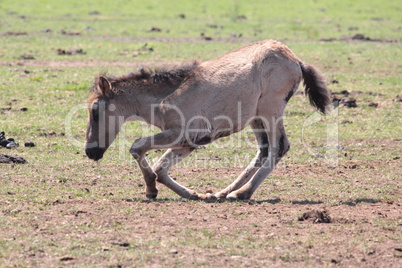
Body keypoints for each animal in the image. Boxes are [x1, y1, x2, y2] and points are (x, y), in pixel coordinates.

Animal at [84, 39, 330, 199]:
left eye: (95, 111)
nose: (90, 151)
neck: (165, 97)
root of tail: (296, 60)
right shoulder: (190, 142)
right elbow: (160, 168)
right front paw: (194, 194)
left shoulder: (180, 134)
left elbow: (138, 147)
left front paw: (151, 190)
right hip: (256, 118)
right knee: (264, 150)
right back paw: (224, 192)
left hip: (270, 110)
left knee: (280, 147)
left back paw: (241, 193)